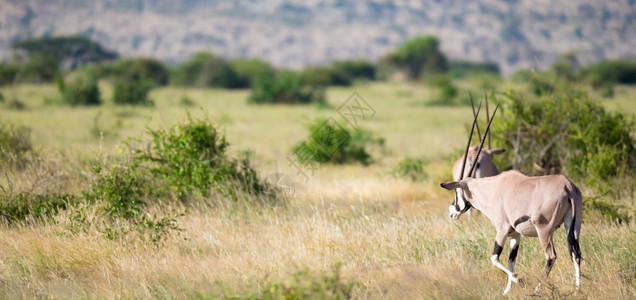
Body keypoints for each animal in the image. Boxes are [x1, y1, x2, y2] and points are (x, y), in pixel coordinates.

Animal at [442, 102, 580, 294]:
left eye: (456, 192)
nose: (451, 212)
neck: (493, 189)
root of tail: (568, 186)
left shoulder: (502, 230)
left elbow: (494, 258)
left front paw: (519, 281)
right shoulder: (515, 234)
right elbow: (510, 260)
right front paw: (507, 291)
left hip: (544, 230)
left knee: (551, 256)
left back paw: (537, 290)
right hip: (573, 225)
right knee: (575, 254)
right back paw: (578, 289)